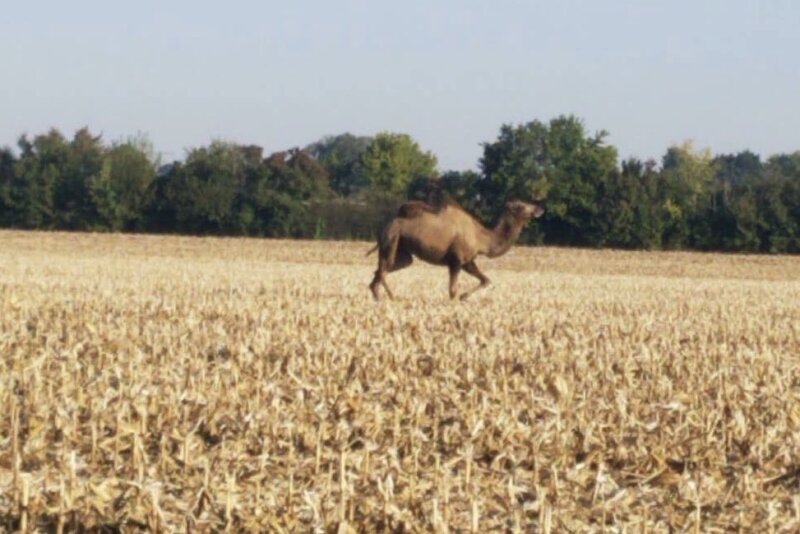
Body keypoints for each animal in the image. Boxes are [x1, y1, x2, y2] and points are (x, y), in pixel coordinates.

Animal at [367, 198, 544, 300]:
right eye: (521, 206)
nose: (539, 209)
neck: (481, 239)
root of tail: (386, 225)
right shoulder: (456, 260)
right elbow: (452, 290)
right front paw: (458, 299)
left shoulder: (468, 261)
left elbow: (485, 280)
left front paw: (464, 297)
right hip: (392, 239)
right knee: (383, 270)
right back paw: (393, 297)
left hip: (402, 250)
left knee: (383, 270)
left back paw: (377, 297)